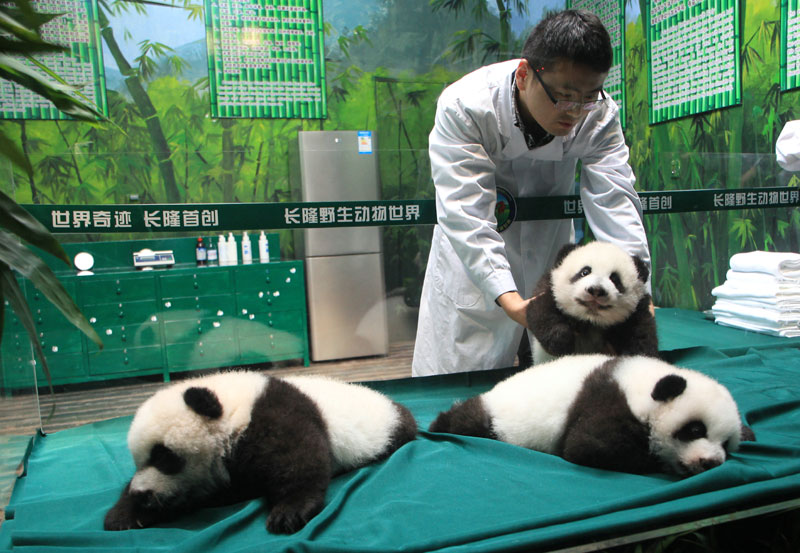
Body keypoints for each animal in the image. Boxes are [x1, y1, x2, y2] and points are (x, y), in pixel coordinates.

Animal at [104, 371, 417, 534]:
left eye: (164, 457)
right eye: (139, 461)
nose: (142, 494)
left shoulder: (273, 417)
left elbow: (301, 461)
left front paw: (287, 513)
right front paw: (123, 514)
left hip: (384, 429)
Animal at [429, 354, 755, 476]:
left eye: (726, 445)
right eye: (695, 430)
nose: (710, 462)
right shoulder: (608, 400)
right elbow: (588, 446)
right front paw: (656, 460)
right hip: (498, 416)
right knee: (469, 419)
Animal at [527, 241, 658, 364]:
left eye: (614, 279)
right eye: (585, 272)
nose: (596, 290)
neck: (590, 321)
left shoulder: (636, 311)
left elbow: (642, 335)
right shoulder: (549, 288)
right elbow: (541, 312)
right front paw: (561, 342)